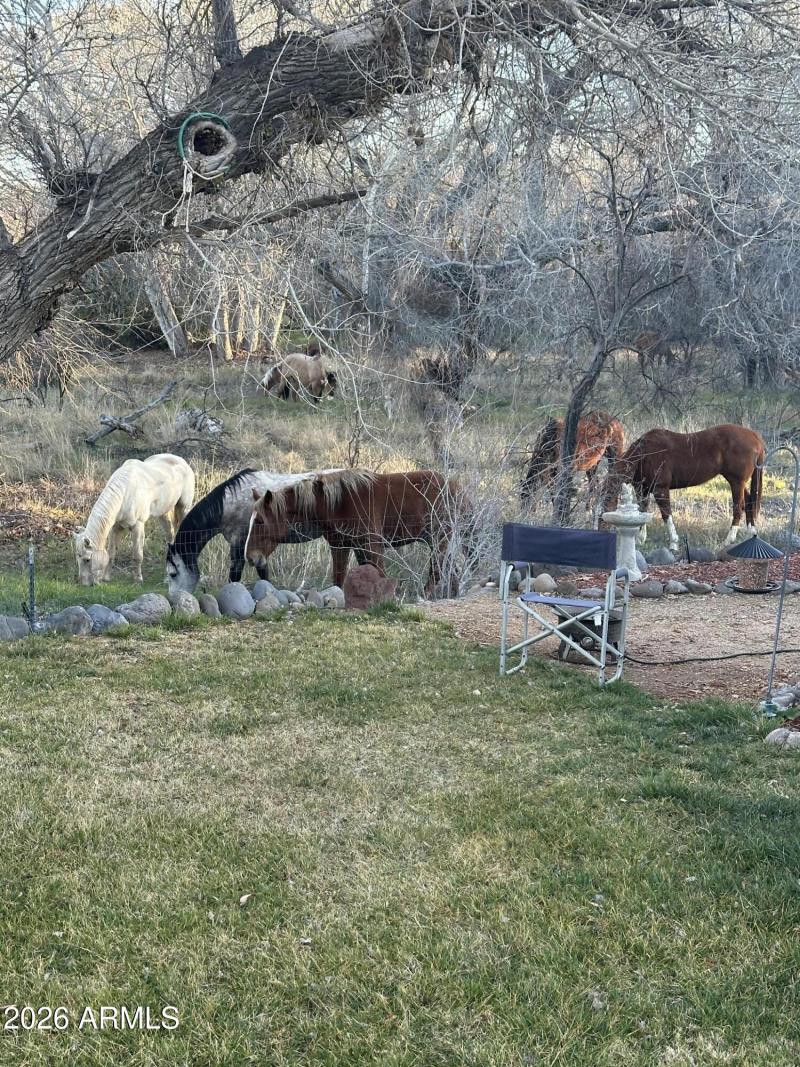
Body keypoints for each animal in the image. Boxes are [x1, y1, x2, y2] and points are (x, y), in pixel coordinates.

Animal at [74, 453, 195, 585]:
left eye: (87, 559)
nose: (84, 584)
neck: (125, 492)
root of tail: (182, 461)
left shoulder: (137, 526)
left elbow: (137, 555)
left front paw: (138, 580)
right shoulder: (116, 527)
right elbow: (111, 553)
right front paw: (107, 577)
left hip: (184, 508)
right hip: (163, 513)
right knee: (170, 535)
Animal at [165, 468, 346, 597]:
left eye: (173, 574)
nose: (173, 598)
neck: (229, 503)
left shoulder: (240, 542)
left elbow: (236, 574)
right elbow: (263, 571)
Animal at [245, 469, 470, 595]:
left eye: (260, 521)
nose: (249, 557)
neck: (338, 502)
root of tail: (455, 487)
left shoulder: (371, 546)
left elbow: (379, 574)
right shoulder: (341, 546)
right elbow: (339, 578)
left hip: (438, 540)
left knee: (437, 571)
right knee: (450, 571)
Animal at [603, 424, 766, 551]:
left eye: (608, 486)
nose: (603, 512)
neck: (645, 453)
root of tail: (754, 436)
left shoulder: (660, 489)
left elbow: (666, 515)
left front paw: (673, 543)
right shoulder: (642, 490)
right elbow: (643, 510)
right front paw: (640, 539)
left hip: (736, 482)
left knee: (738, 508)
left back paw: (728, 540)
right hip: (737, 482)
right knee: (749, 501)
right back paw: (751, 533)